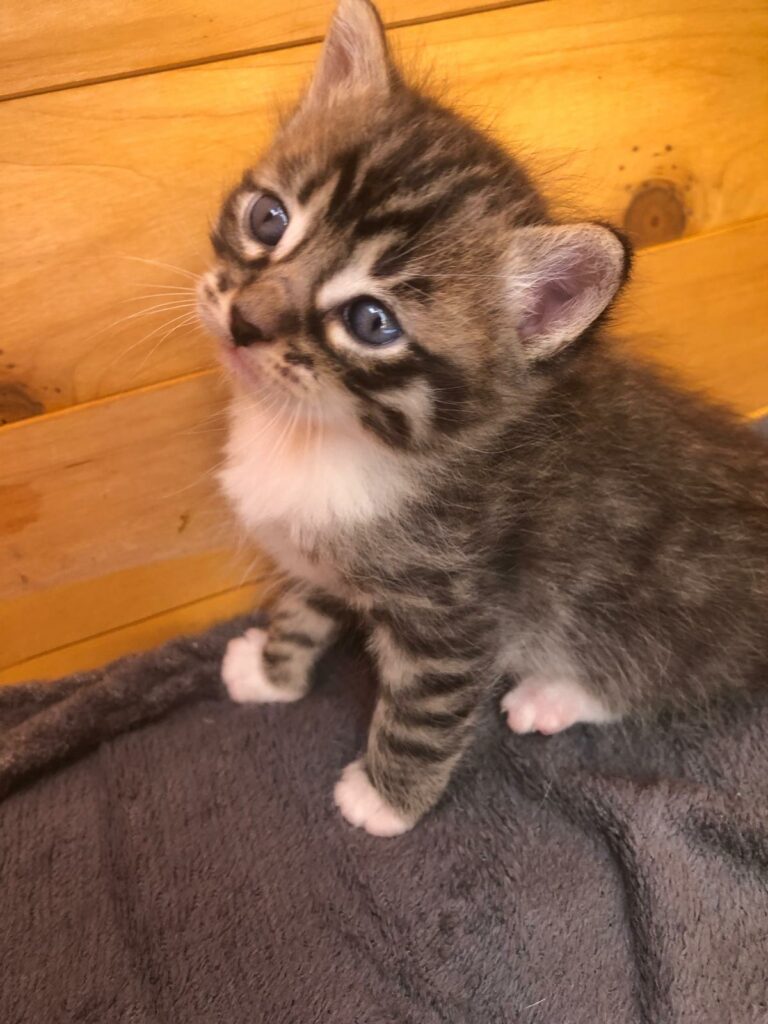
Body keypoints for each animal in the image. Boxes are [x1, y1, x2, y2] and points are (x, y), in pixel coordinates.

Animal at [196, 0, 768, 836]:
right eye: (269, 219)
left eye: (370, 321)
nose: (244, 322)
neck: (330, 436)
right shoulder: (322, 549)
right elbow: (304, 604)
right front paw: (272, 670)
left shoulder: (453, 612)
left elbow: (425, 713)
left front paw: (386, 799)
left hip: (655, 601)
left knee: (665, 670)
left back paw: (553, 694)